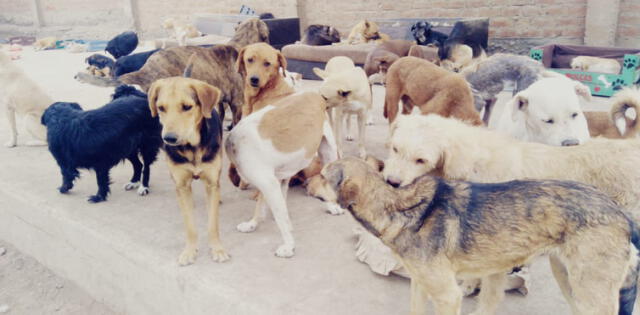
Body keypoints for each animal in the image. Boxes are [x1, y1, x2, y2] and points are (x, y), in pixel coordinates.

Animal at [146, 77, 229, 266]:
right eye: (161, 108)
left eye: (186, 107)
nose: (169, 139)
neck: (192, 147)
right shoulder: (182, 185)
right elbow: (190, 226)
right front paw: (190, 251)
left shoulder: (211, 182)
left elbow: (213, 224)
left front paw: (217, 249)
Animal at [310, 157, 640, 315]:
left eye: (324, 176)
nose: (306, 181)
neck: (398, 209)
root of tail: (621, 212)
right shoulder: (420, 283)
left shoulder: (448, 295)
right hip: (570, 280)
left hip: (590, 292)